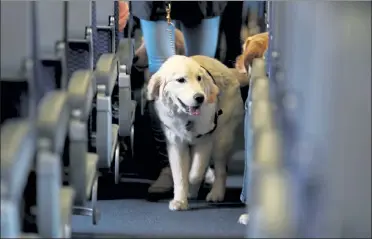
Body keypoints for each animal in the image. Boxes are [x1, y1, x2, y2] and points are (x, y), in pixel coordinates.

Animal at [147, 54, 248, 211]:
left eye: (199, 78)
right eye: (181, 80)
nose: (200, 98)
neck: (186, 118)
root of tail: (229, 71)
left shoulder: (205, 140)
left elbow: (195, 173)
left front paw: (191, 184)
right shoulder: (176, 144)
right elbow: (180, 175)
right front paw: (180, 201)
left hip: (221, 139)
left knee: (221, 169)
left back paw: (216, 193)